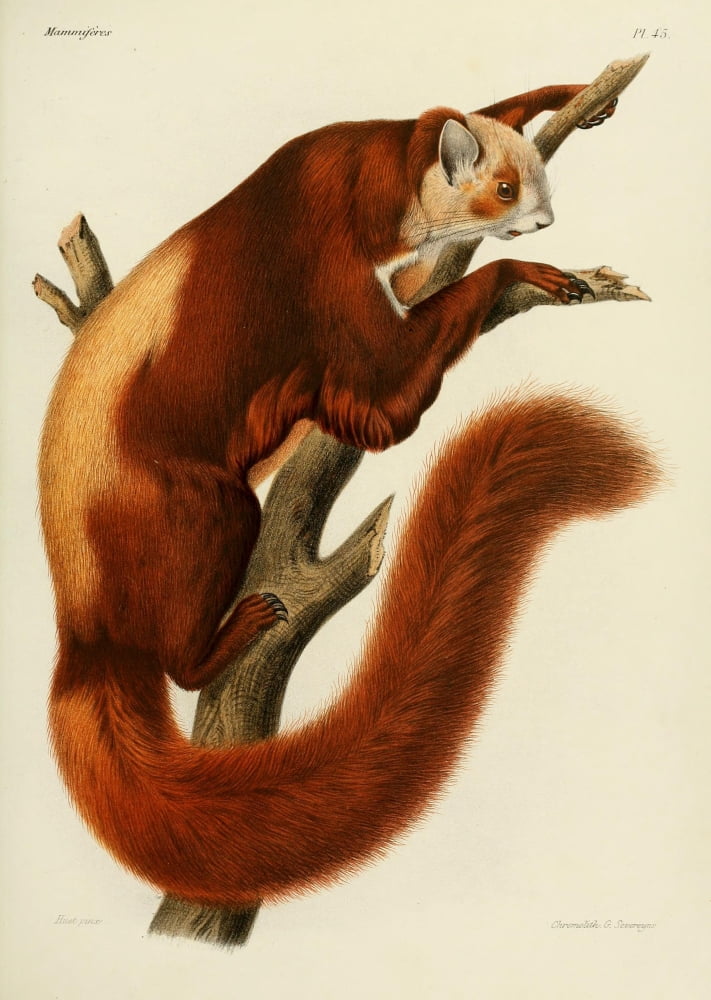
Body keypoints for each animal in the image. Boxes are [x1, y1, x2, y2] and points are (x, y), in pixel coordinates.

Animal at [38, 84, 657, 908]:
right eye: (504, 189)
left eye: (537, 177)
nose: (546, 221)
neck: (372, 175)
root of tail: (83, 635)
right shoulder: (331, 270)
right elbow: (385, 390)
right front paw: (530, 268)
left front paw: (564, 99)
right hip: (204, 506)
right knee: (179, 639)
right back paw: (227, 637)